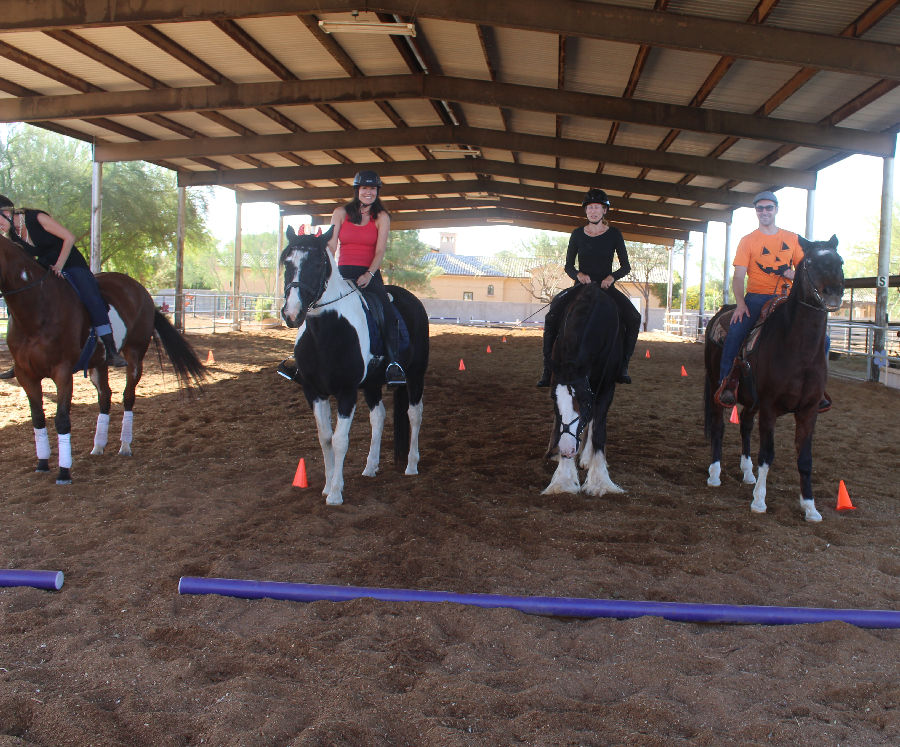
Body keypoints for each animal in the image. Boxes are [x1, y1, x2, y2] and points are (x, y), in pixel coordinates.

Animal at [0, 235, 205, 485]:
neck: (37, 308)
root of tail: (142, 291)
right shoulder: (25, 375)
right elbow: (38, 418)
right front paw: (42, 463)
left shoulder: (62, 373)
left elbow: (62, 419)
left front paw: (64, 472)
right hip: (98, 363)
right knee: (105, 397)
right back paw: (98, 446)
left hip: (135, 355)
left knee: (128, 397)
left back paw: (125, 445)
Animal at [279, 224, 429, 506]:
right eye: (287, 263)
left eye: (317, 263)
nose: (292, 313)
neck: (326, 331)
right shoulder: (313, 392)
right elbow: (325, 438)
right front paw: (327, 485)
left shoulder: (346, 392)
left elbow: (339, 440)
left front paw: (336, 493)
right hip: (372, 384)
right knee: (378, 417)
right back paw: (370, 467)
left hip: (415, 376)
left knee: (414, 414)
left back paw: (411, 465)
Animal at [542, 282, 626, 496]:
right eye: (553, 399)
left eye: (584, 401)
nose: (566, 450)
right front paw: (563, 480)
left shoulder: (605, 389)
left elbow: (598, 431)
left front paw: (600, 482)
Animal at [703, 235, 844, 522]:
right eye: (809, 261)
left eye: (840, 261)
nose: (833, 293)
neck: (798, 350)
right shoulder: (769, 407)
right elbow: (767, 455)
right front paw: (759, 501)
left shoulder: (808, 410)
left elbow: (805, 459)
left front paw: (810, 507)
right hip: (716, 387)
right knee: (718, 426)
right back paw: (715, 474)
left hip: (751, 399)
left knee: (745, 424)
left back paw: (747, 473)